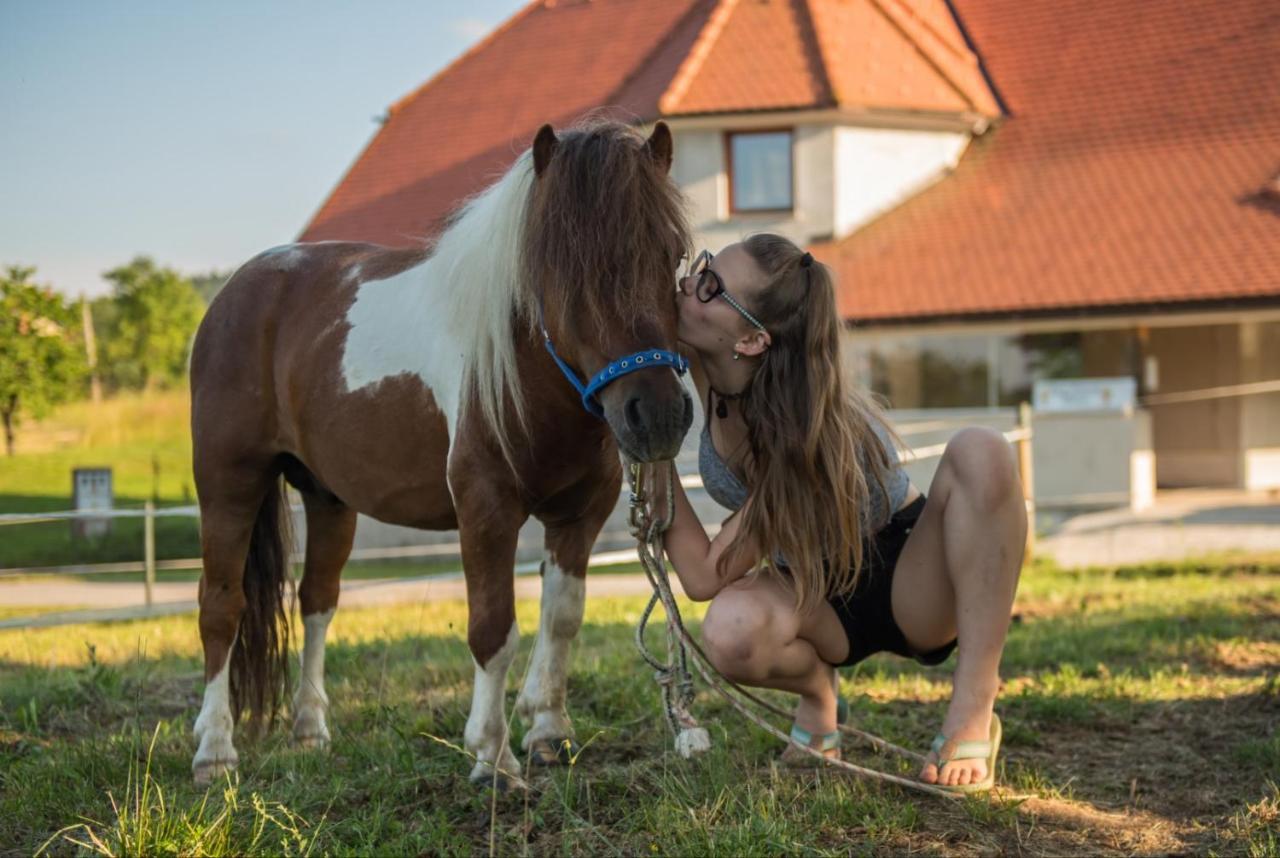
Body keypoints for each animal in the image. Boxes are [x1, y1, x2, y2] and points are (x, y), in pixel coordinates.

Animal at [185, 121, 696, 793]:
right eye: (561, 266)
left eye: (673, 255)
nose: (657, 415)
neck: (522, 374)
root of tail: (238, 291)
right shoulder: (486, 512)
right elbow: (493, 629)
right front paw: (492, 758)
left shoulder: (579, 515)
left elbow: (562, 617)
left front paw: (548, 733)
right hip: (228, 484)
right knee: (221, 606)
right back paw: (215, 752)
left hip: (328, 498)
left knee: (317, 600)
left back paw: (311, 731)